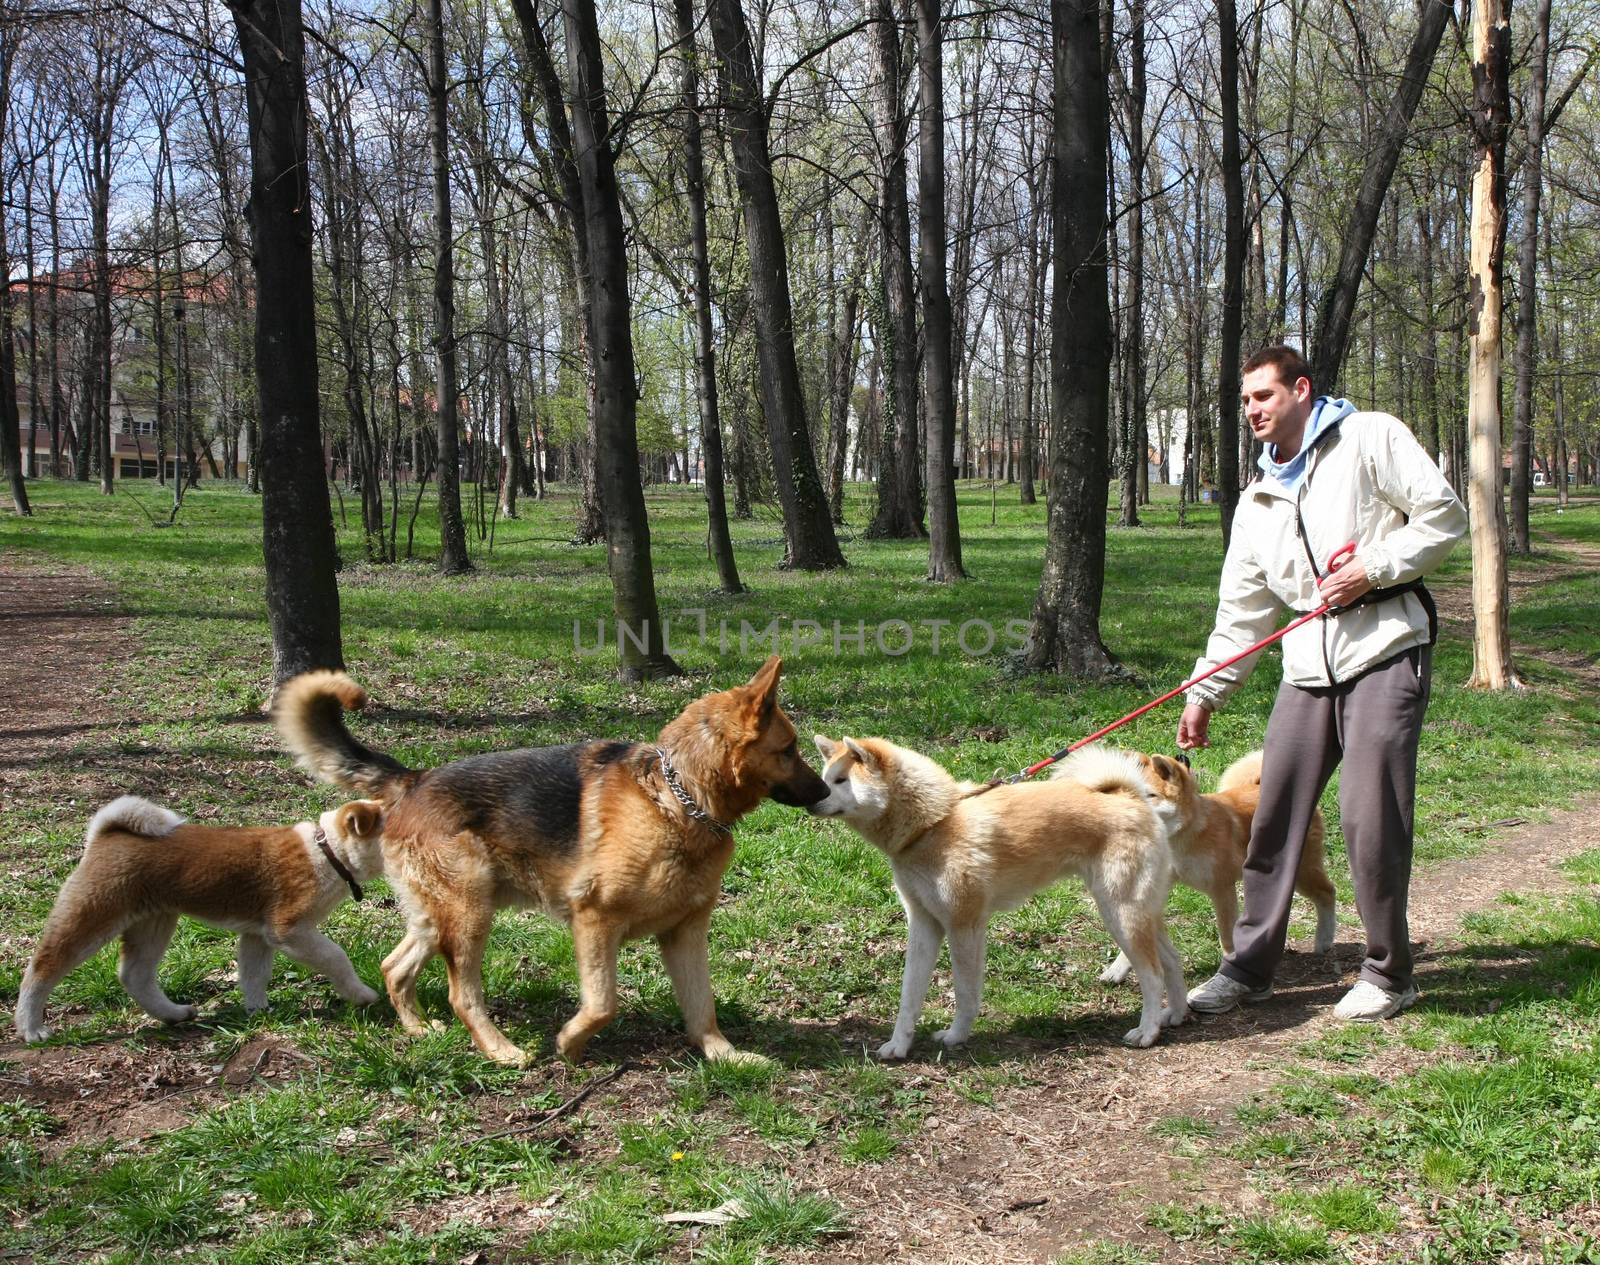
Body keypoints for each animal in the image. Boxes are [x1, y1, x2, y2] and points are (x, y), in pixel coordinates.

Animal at [275, 662, 825, 1068]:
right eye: (789, 749)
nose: (824, 792)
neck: (677, 796)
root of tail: (414, 779)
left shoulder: (685, 933)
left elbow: (702, 1005)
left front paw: (722, 1055)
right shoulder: (596, 921)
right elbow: (603, 1003)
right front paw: (569, 1044)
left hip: (440, 917)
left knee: (394, 967)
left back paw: (417, 1029)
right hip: (470, 917)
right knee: (462, 995)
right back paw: (500, 1051)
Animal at [812, 735, 1190, 1055]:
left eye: (842, 780)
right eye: (827, 777)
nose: (812, 796)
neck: (934, 823)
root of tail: (1130, 796)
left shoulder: (964, 926)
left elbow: (965, 993)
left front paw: (956, 1036)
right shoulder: (924, 923)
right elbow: (910, 995)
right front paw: (899, 1046)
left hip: (1120, 913)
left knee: (1152, 975)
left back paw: (1147, 1032)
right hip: (1139, 913)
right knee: (1172, 962)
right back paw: (1176, 1014)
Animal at [1100, 751, 1337, 991]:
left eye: (1151, 795)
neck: (1183, 837)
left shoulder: (1222, 889)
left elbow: (1226, 936)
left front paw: (1228, 972)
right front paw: (1117, 969)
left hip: (1302, 872)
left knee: (1327, 892)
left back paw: (1324, 939)